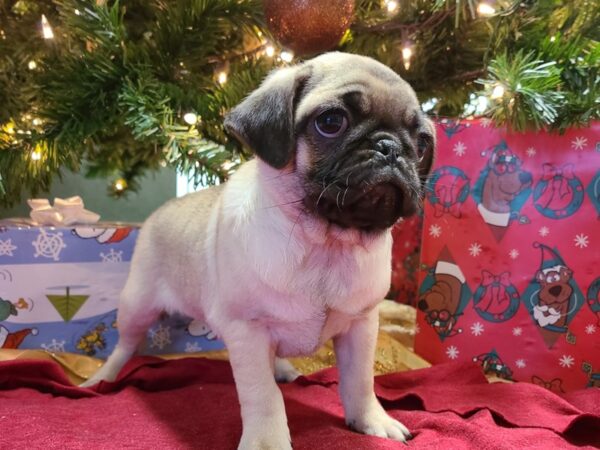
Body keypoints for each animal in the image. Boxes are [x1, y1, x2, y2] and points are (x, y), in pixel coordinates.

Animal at [81, 51, 436, 446]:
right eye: (331, 122)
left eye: (422, 143)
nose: (390, 147)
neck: (326, 242)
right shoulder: (246, 331)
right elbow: (263, 395)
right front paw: (267, 441)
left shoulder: (361, 326)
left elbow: (360, 381)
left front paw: (371, 420)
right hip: (137, 305)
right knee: (125, 345)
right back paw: (102, 378)